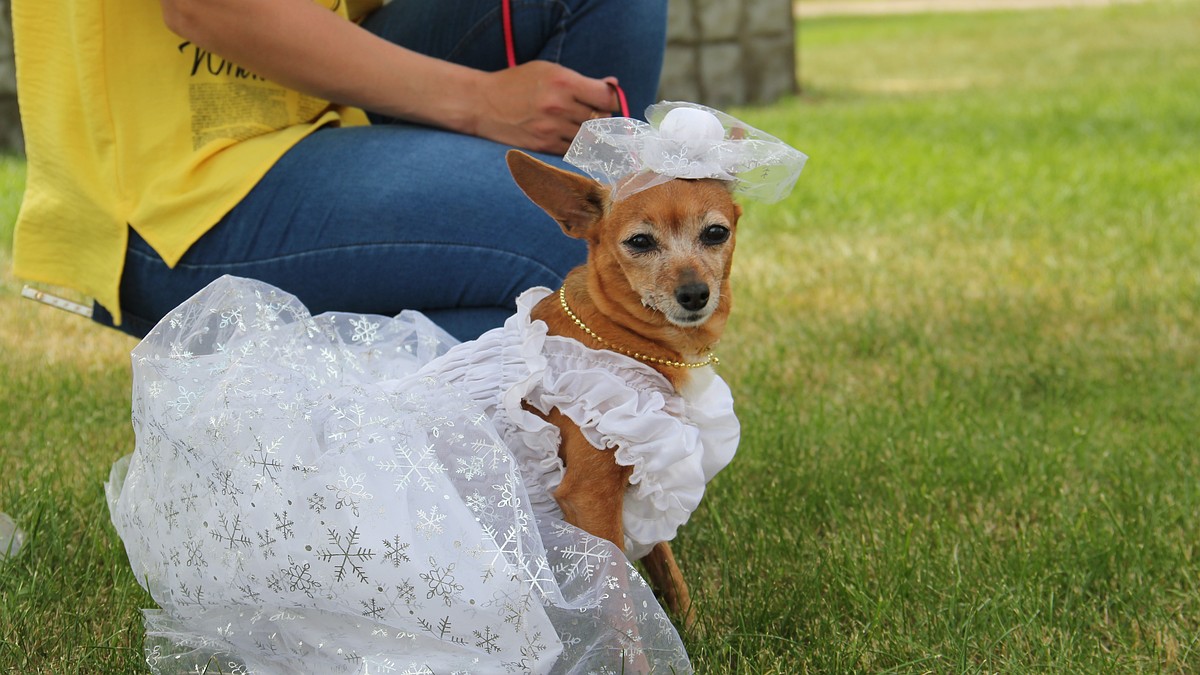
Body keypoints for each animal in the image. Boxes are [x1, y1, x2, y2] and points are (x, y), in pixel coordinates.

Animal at [504, 149, 739, 629]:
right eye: (640, 242)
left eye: (716, 233)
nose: (694, 293)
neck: (620, 335)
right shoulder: (590, 500)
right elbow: (620, 600)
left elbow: (666, 567)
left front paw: (691, 628)